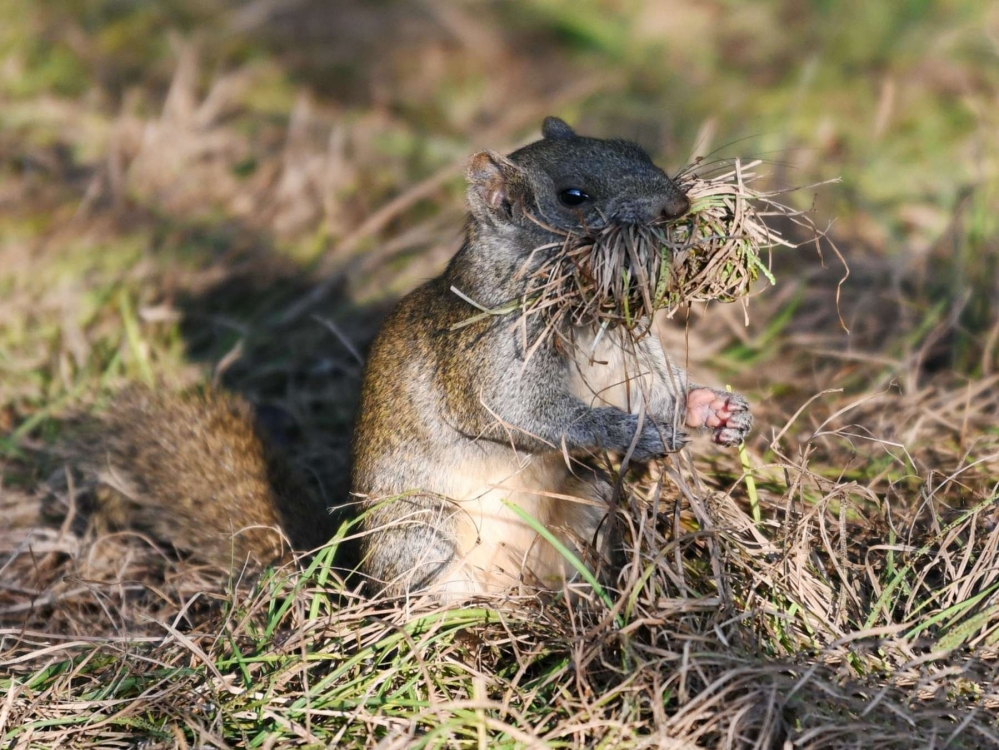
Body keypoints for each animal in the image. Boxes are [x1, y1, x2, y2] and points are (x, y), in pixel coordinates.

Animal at [76, 117, 752, 600]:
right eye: (573, 196)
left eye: (633, 146)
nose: (676, 206)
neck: (582, 317)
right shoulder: (482, 359)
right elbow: (521, 414)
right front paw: (634, 434)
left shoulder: (627, 356)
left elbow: (654, 391)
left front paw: (716, 409)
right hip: (423, 528)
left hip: (585, 504)